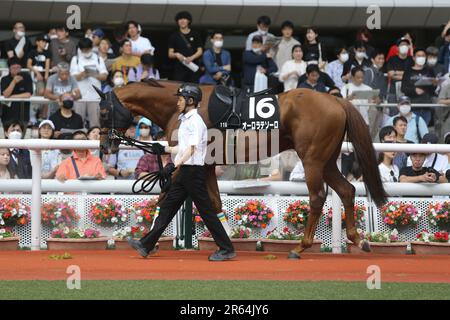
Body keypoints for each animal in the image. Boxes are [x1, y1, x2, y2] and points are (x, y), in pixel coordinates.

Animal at [96, 80, 386, 260]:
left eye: (103, 112)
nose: (105, 146)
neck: (185, 109)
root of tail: (336, 101)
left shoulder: (190, 162)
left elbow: (165, 197)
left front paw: (149, 241)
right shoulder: (207, 166)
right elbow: (213, 203)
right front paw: (226, 242)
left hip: (313, 160)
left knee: (317, 197)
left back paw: (300, 247)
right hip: (326, 161)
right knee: (347, 190)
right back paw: (358, 239)